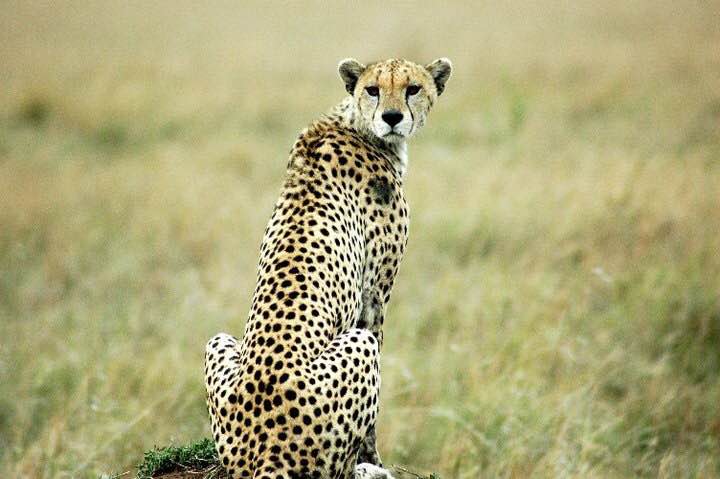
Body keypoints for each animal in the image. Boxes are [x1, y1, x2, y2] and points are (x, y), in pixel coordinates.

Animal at [205, 57, 450, 479]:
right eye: (373, 89)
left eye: (413, 88)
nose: (392, 117)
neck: (356, 124)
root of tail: (264, 452)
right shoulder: (374, 296)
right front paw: (375, 461)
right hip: (359, 345)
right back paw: (367, 471)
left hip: (217, 342)